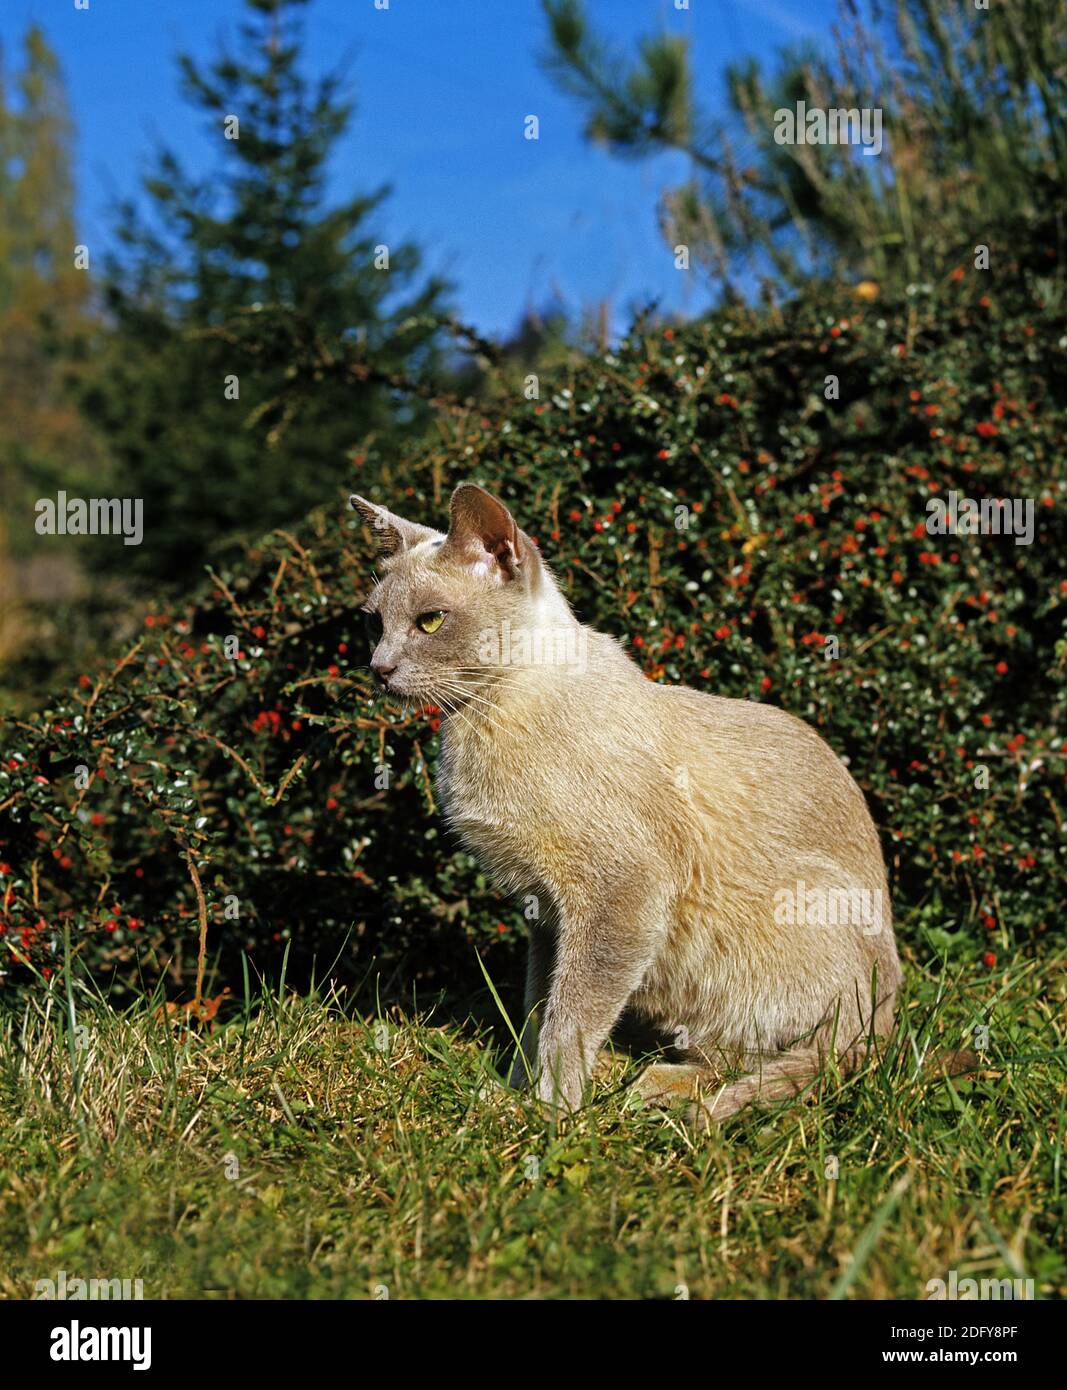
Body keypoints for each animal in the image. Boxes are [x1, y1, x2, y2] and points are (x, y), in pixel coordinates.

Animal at [354, 483, 911, 1123]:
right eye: (374, 623)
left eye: (431, 621)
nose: (379, 668)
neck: (486, 718)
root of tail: (889, 1016)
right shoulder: (545, 914)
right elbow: (536, 1011)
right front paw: (514, 1096)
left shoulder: (618, 897)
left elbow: (568, 1021)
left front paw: (551, 1115)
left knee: (784, 1061)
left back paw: (660, 1094)